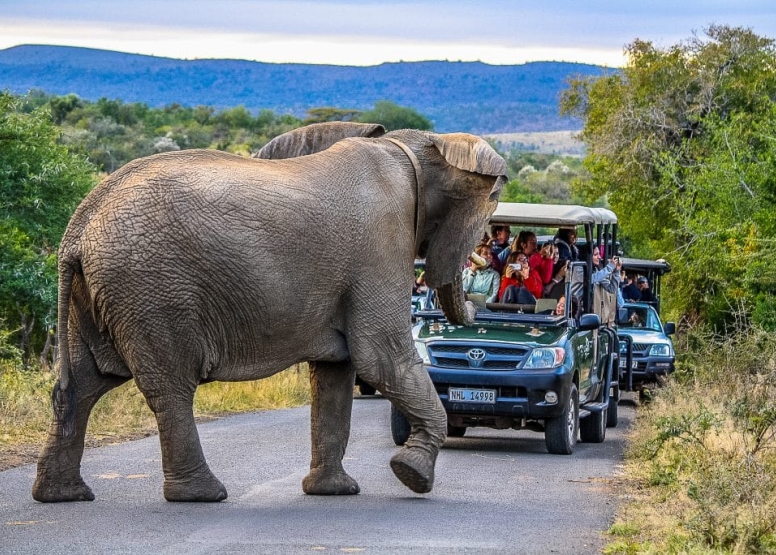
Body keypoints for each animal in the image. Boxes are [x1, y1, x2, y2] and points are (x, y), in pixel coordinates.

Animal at [33, 121, 510, 504]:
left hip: (101, 293)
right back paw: (202, 495)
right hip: (152, 289)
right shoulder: (382, 245)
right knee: (169, 386)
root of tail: (80, 225)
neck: (418, 145)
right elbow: (382, 357)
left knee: (84, 383)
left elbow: (337, 373)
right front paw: (411, 475)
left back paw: (63, 495)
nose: (483, 305)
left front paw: (334, 492)